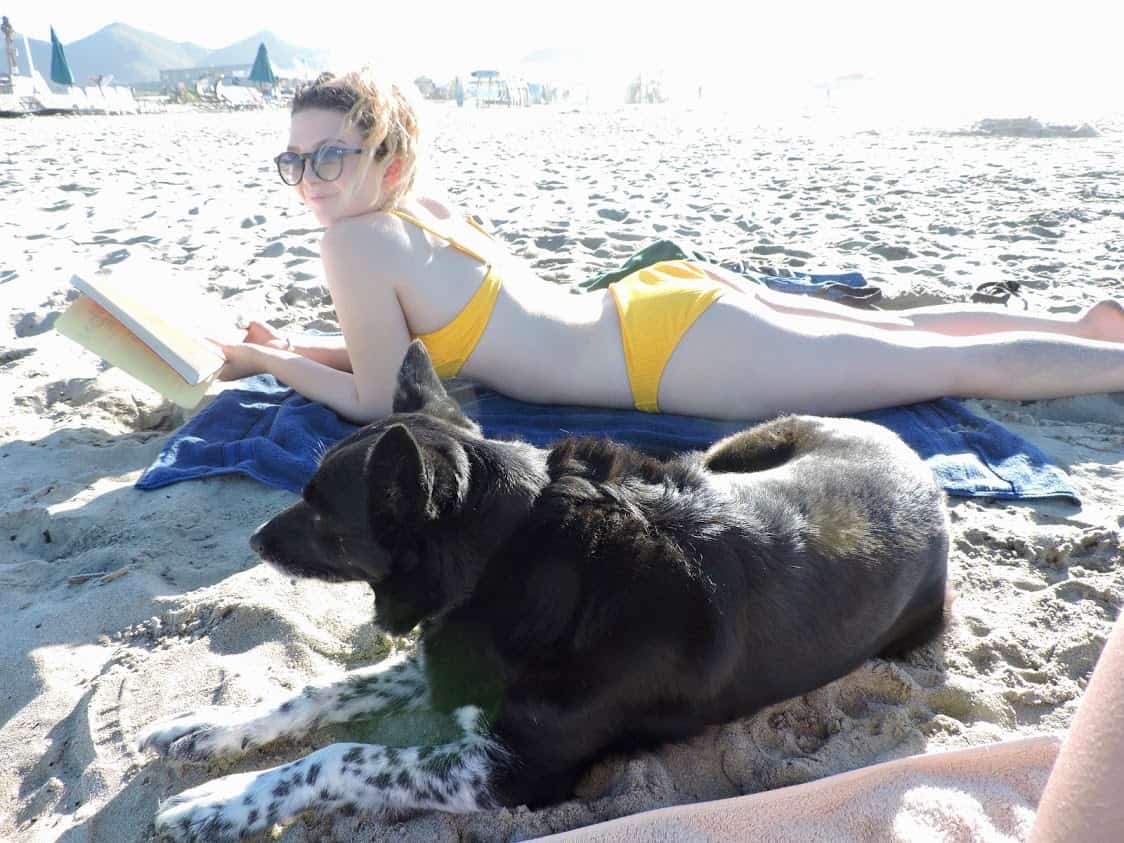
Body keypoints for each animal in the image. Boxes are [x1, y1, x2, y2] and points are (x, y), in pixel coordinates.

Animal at [138, 339, 948, 840]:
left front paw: (223, 802)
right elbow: (318, 693)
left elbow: (337, 755)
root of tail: (921, 464)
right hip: (722, 456)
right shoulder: (445, 657)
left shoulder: (510, 771)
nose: (253, 541)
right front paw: (212, 730)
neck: (507, 557)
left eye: (321, 512)